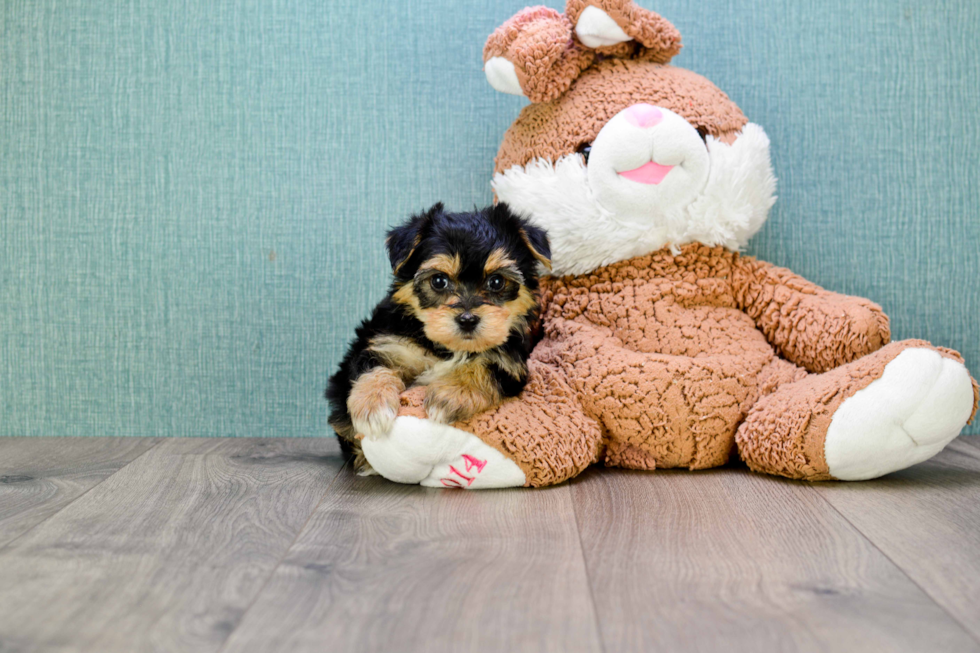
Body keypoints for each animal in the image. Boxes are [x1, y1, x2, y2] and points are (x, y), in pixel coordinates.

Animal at [324, 201, 548, 472]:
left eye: (496, 282)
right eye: (439, 281)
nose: (467, 319)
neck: (445, 348)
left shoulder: (511, 360)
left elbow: (486, 366)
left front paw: (449, 396)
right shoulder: (386, 343)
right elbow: (372, 367)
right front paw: (373, 407)